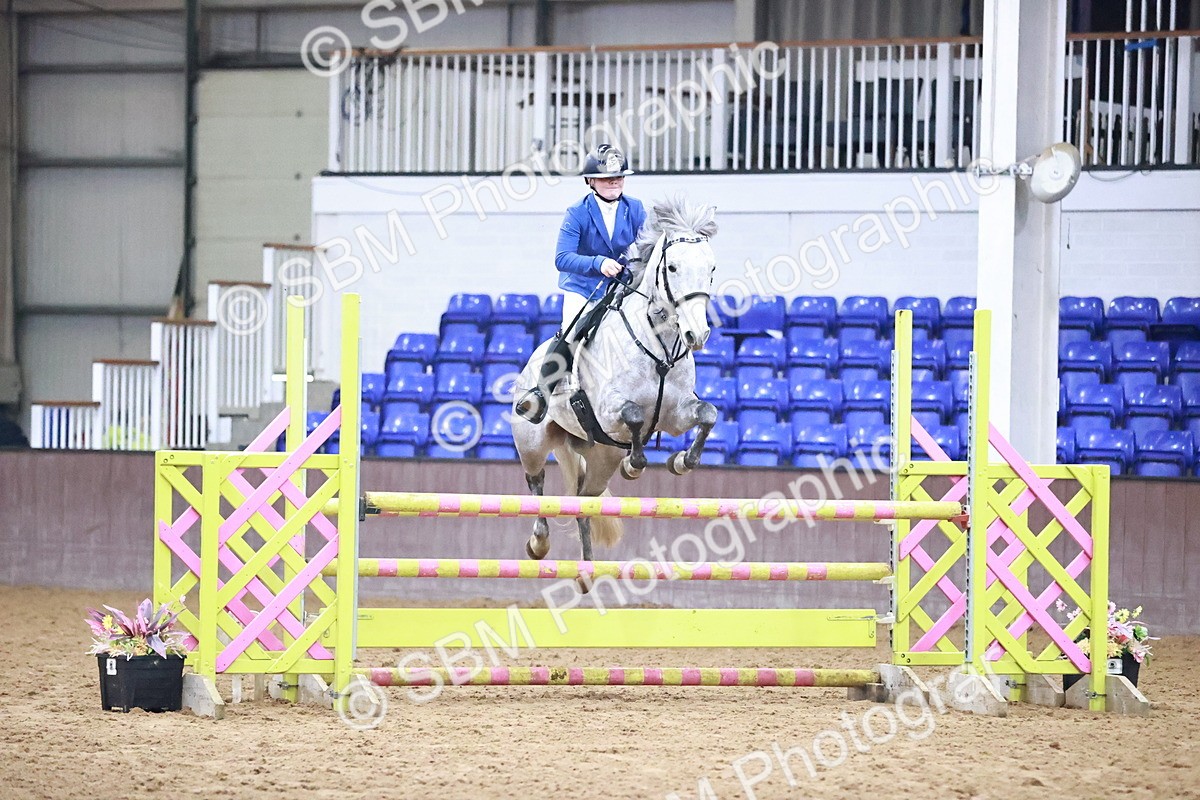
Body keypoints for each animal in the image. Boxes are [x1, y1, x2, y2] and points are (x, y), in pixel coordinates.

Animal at [510, 196, 720, 564]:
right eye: (672, 268)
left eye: (711, 269)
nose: (698, 334)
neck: (659, 345)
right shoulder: (609, 412)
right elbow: (634, 415)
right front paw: (634, 466)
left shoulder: (677, 415)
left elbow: (708, 414)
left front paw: (681, 462)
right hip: (531, 442)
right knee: (536, 485)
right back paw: (538, 543)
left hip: (600, 458)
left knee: (583, 503)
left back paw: (587, 569)